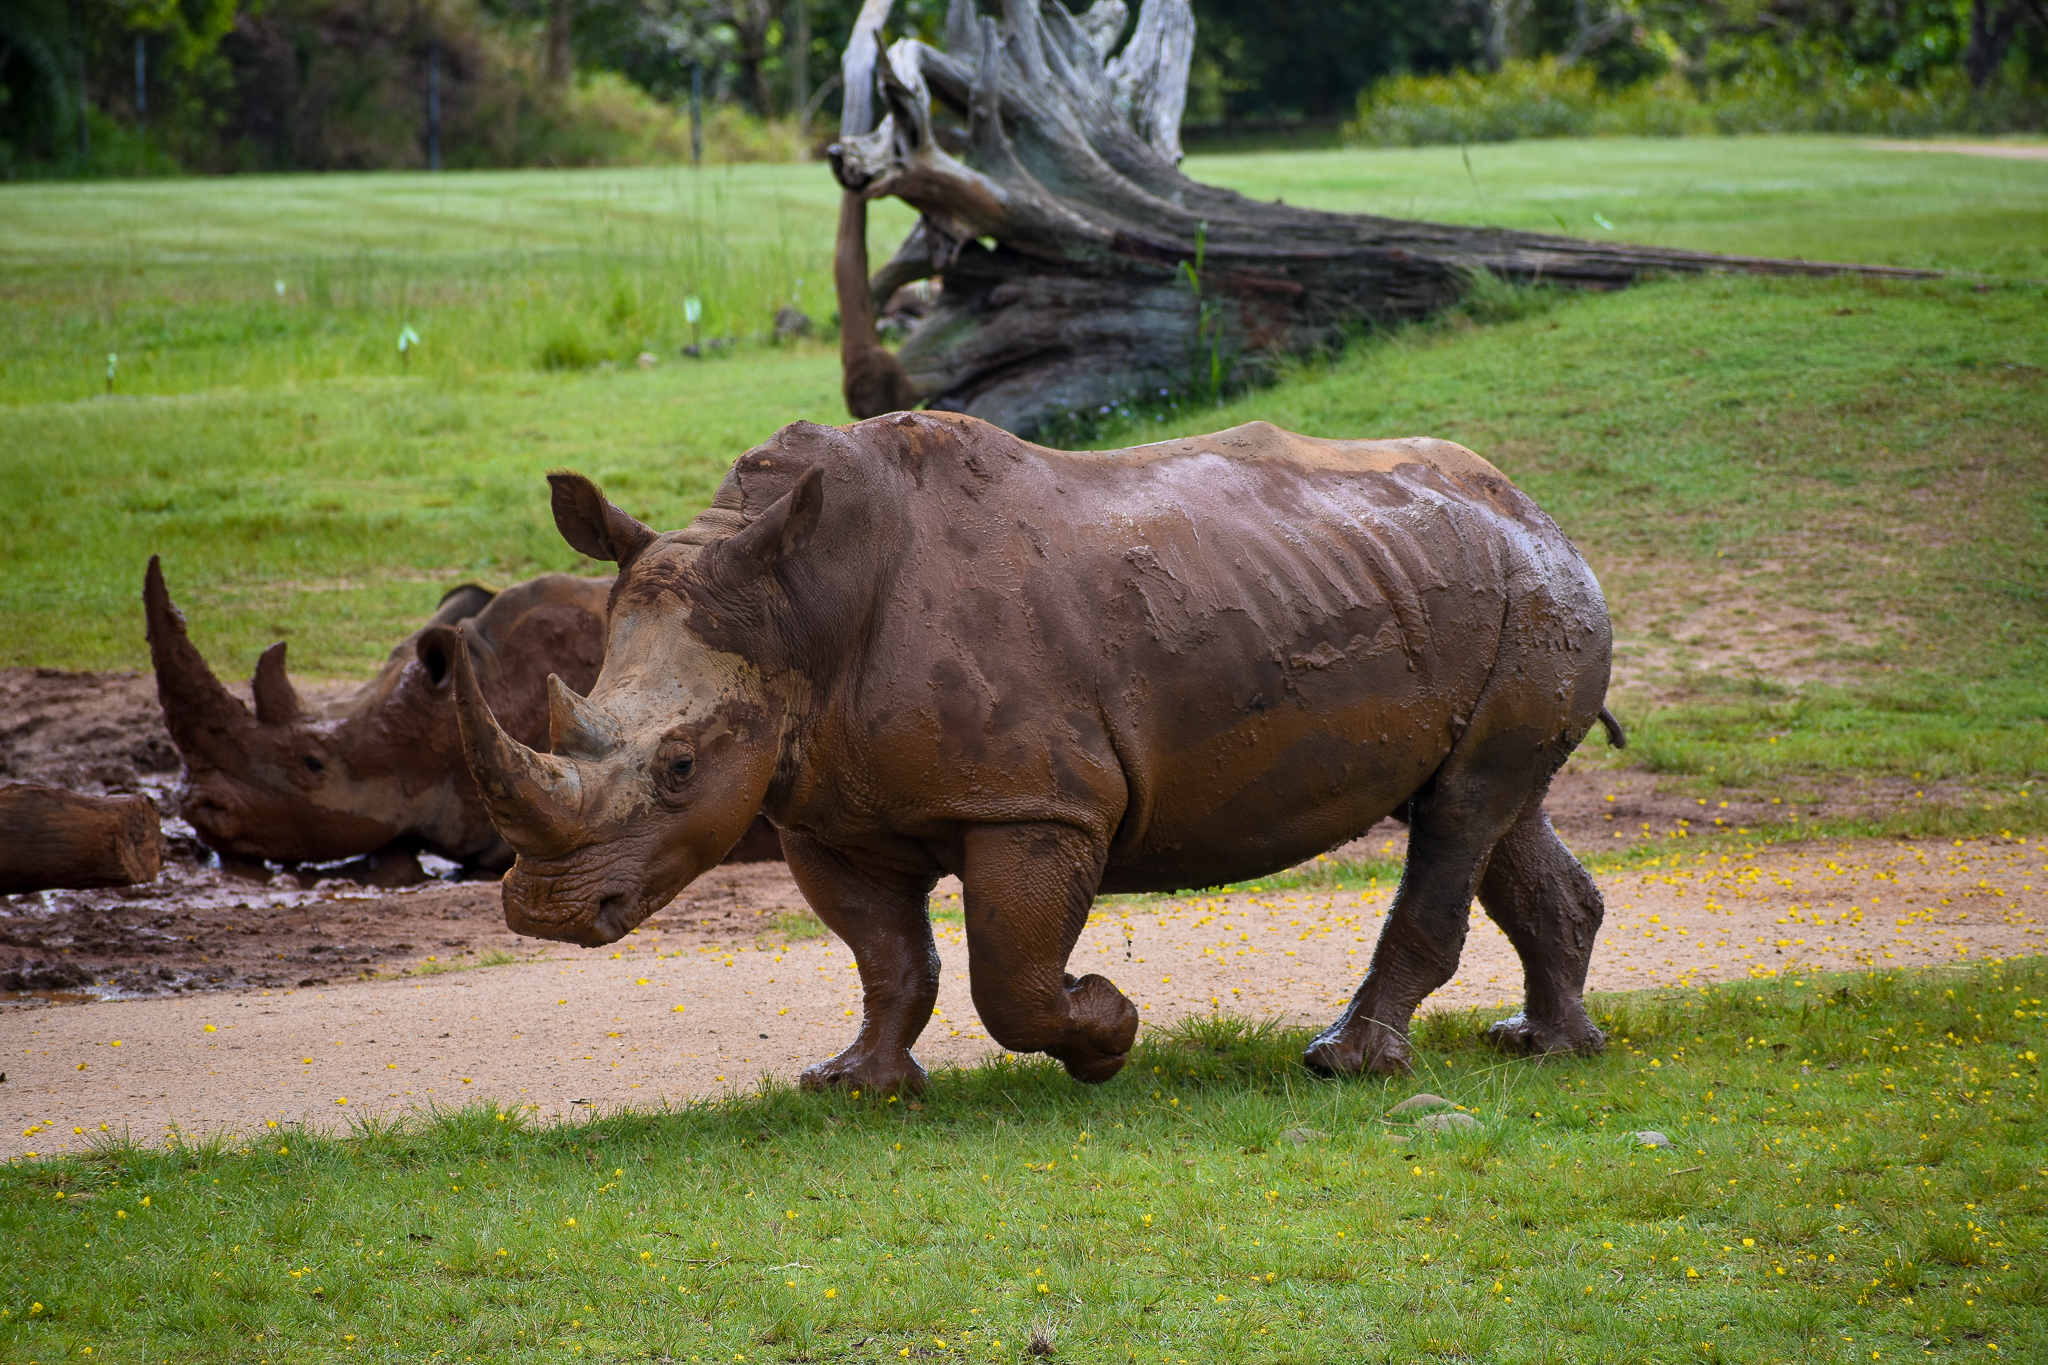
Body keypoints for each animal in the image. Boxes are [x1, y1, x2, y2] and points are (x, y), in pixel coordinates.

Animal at [452, 413, 1623, 1089]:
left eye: (682, 766)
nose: (544, 912)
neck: (796, 609)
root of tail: (1537, 511)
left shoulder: (1036, 799)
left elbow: (1007, 974)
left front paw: (1107, 1032)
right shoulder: (821, 804)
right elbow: (887, 956)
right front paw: (855, 1084)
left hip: (1530, 593)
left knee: (1460, 815)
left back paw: (1348, 1064)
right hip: (1473, 586)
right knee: (1491, 808)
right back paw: (1546, 1048)